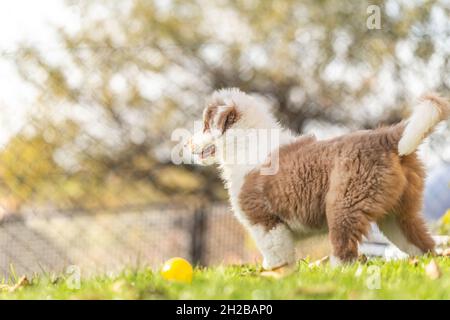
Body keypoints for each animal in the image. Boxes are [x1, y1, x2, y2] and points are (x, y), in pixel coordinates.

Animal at [188, 89, 448, 272]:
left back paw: (337, 274)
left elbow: (277, 257)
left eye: (205, 126)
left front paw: (272, 277)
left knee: (345, 251)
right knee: (422, 244)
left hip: (345, 202)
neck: (244, 143)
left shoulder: (265, 222)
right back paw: (427, 268)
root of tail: (386, 136)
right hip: (399, 212)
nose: (187, 145)